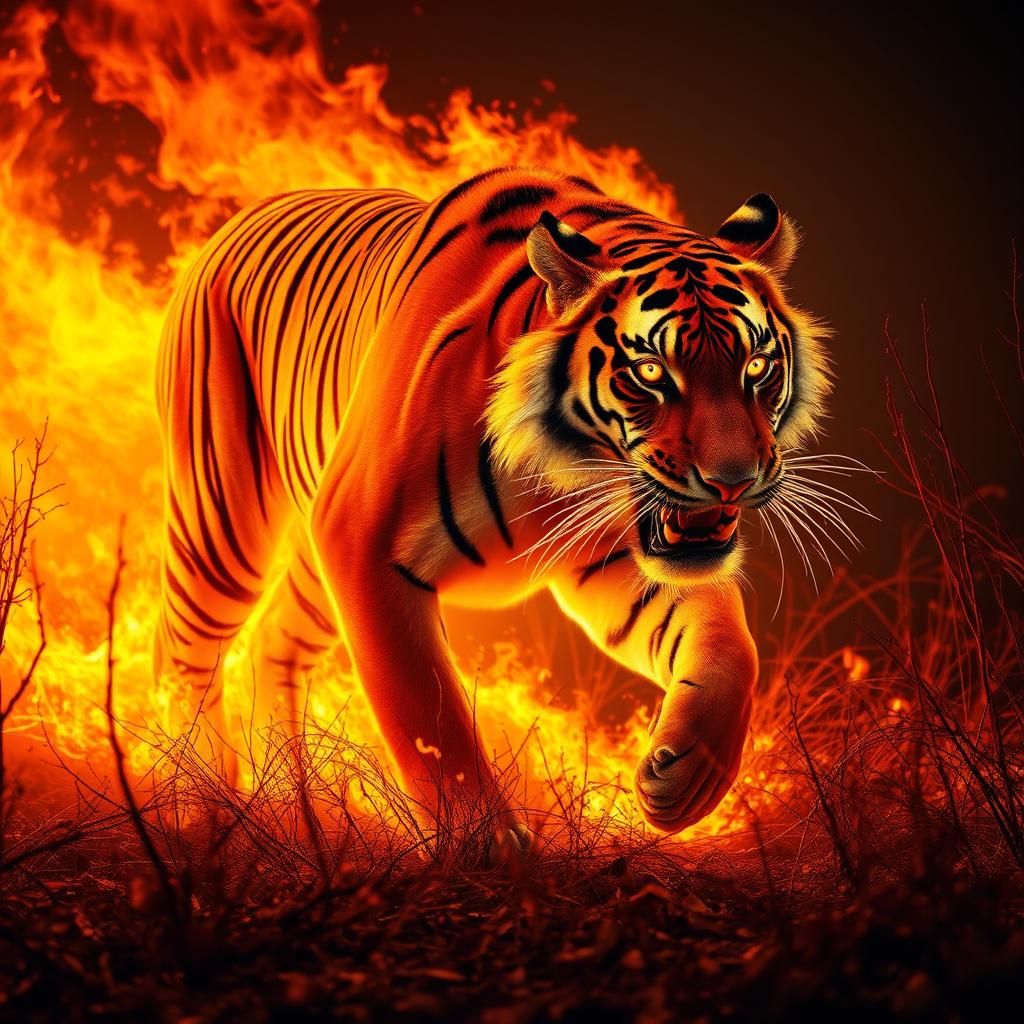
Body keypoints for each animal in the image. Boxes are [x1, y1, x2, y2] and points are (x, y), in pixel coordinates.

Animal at [154, 166, 829, 844]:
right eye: (650, 371)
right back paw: (199, 798)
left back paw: (294, 807)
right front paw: (490, 851)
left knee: (274, 639)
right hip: (224, 521)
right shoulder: (361, 543)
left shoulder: (615, 559)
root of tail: (251, 212)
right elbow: (429, 721)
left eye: (758, 365)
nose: (733, 480)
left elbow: (728, 642)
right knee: (184, 644)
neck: (564, 469)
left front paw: (686, 778)